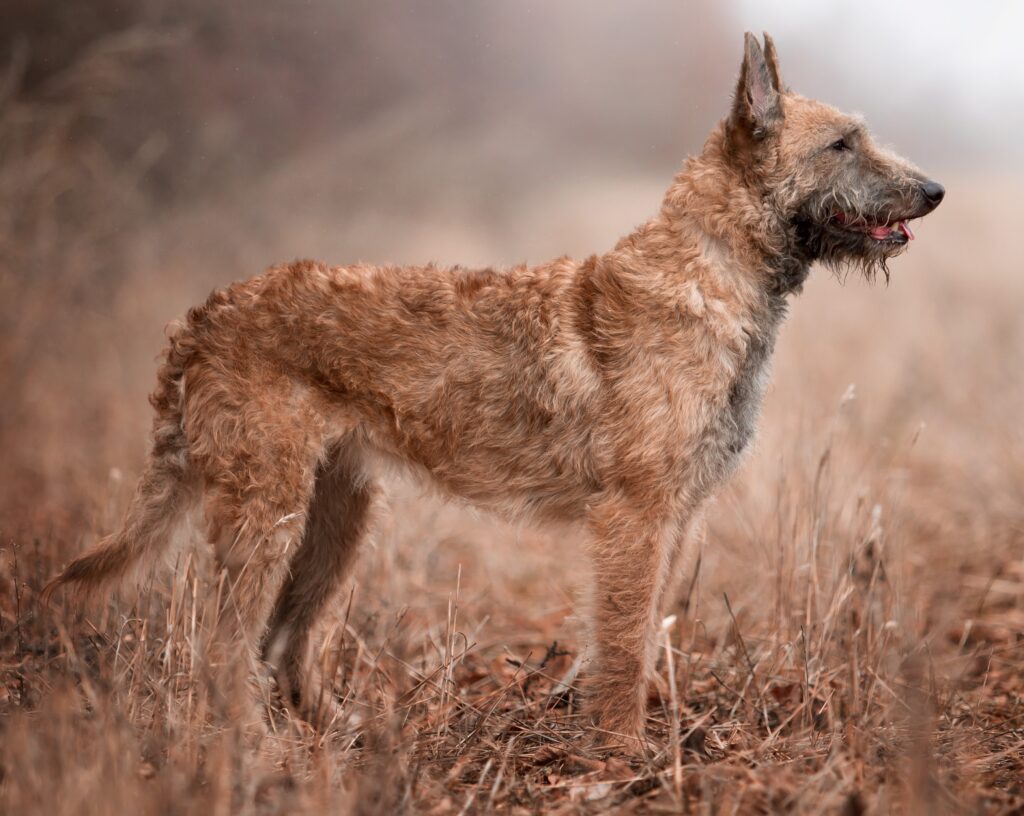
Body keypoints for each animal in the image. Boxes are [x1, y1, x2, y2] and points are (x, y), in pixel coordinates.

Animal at [46, 33, 942, 749]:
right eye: (842, 143)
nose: (933, 191)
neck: (713, 271)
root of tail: (202, 318)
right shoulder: (635, 518)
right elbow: (624, 645)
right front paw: (625, 755)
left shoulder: (676, 517)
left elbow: (641, 638)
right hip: (266, 514)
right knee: (226, 647)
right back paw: (253, 748)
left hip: (335, 516)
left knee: (282, 642)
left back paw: (342, 733)